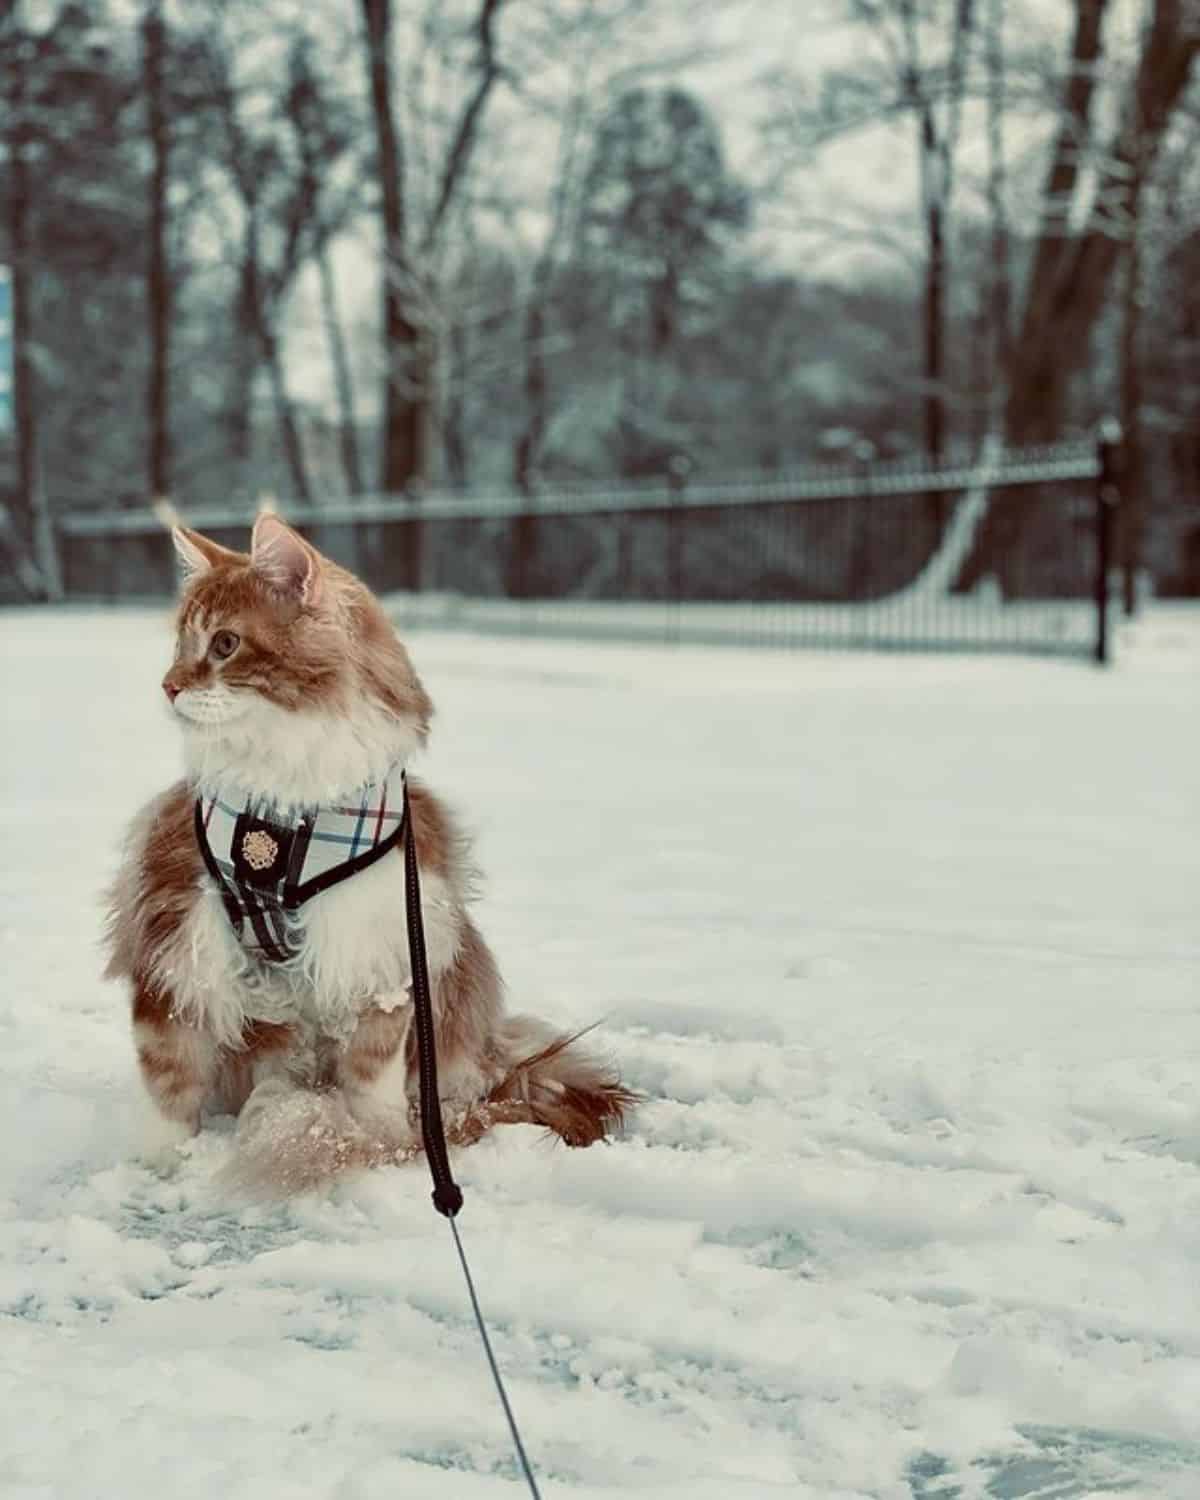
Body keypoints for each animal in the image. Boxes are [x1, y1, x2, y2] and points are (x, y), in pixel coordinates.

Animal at [106, 510, 633, 1188]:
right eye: (179, 645)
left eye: (224, 644)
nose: (168, 687)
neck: (281, 807)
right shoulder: (177, 938)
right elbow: (169, 1080)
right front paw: (163, 1163)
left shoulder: (381, 945)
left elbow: (370, 1074)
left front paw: (379, 1144)